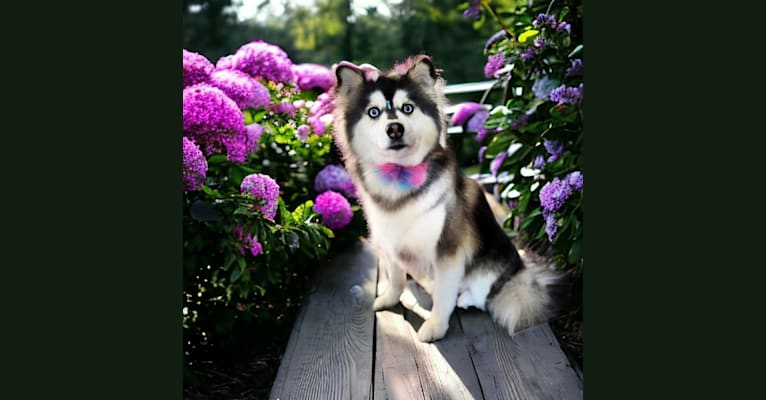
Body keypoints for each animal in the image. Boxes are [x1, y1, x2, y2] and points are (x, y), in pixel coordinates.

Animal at [332, 54, 564, 342]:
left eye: (407, 108)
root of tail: (519, 270)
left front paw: (435, 326)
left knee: (479, 293)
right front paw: (389, 298)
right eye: (373, 112)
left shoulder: (448, 249)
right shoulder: (389, 241)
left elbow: (444, 294)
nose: (394, 129)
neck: (400, 179)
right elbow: (395, 276)